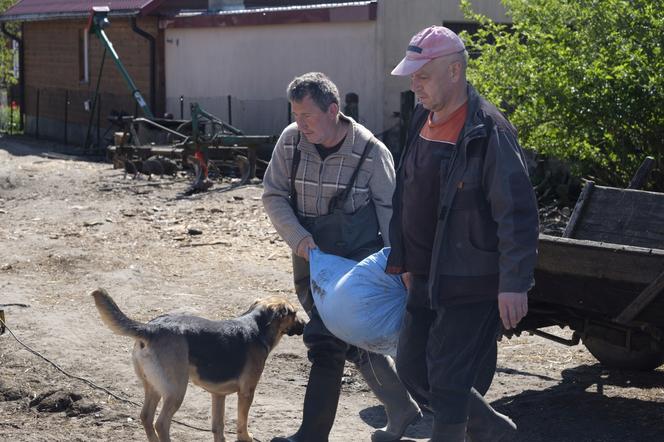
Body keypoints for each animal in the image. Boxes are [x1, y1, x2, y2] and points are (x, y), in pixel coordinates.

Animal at [91, 288, 306, 442]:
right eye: (294, 313)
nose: (305, 324)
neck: (258, 326)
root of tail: (151, 328)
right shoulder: (246, 392)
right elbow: (241, 422)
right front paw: (245, 437)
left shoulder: (218, 395)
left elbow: (218, 428)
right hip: (176, 390)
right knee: (161, 423)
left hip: (153, 386)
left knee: (146, 417)